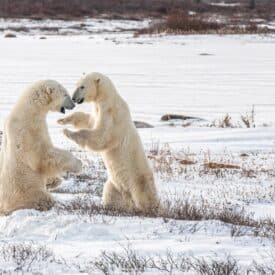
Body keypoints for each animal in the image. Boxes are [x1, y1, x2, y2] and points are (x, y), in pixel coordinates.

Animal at [0, 80, 82, 216]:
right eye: (65, 94)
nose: (73, 105)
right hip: (28, 191)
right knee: (42, 199)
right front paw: (79, 164)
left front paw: (54, 180)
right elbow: (44, 155)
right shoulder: (30, 129)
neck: (29, 109)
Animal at [59, 73, 160, 213]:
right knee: (110, 195)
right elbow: (88, 121)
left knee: (146, 196)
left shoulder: (111, 114)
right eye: (77, 84)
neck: (106, 98)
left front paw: (68, 132)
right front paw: (63, 120)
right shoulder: (98, 111)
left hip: (139, 179)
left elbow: (101, 136)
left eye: (82, 86)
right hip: (114, 185)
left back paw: (152, 209)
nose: (74, 98)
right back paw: (111, 207)